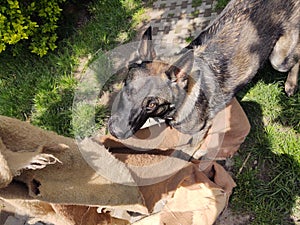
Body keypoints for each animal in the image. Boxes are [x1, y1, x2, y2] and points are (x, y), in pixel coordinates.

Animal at [109, 0, 298, 140]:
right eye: (126, 86)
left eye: (152, 104)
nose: (115, 132)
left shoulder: (199, 133)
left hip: (279, 59)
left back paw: (291, 84)